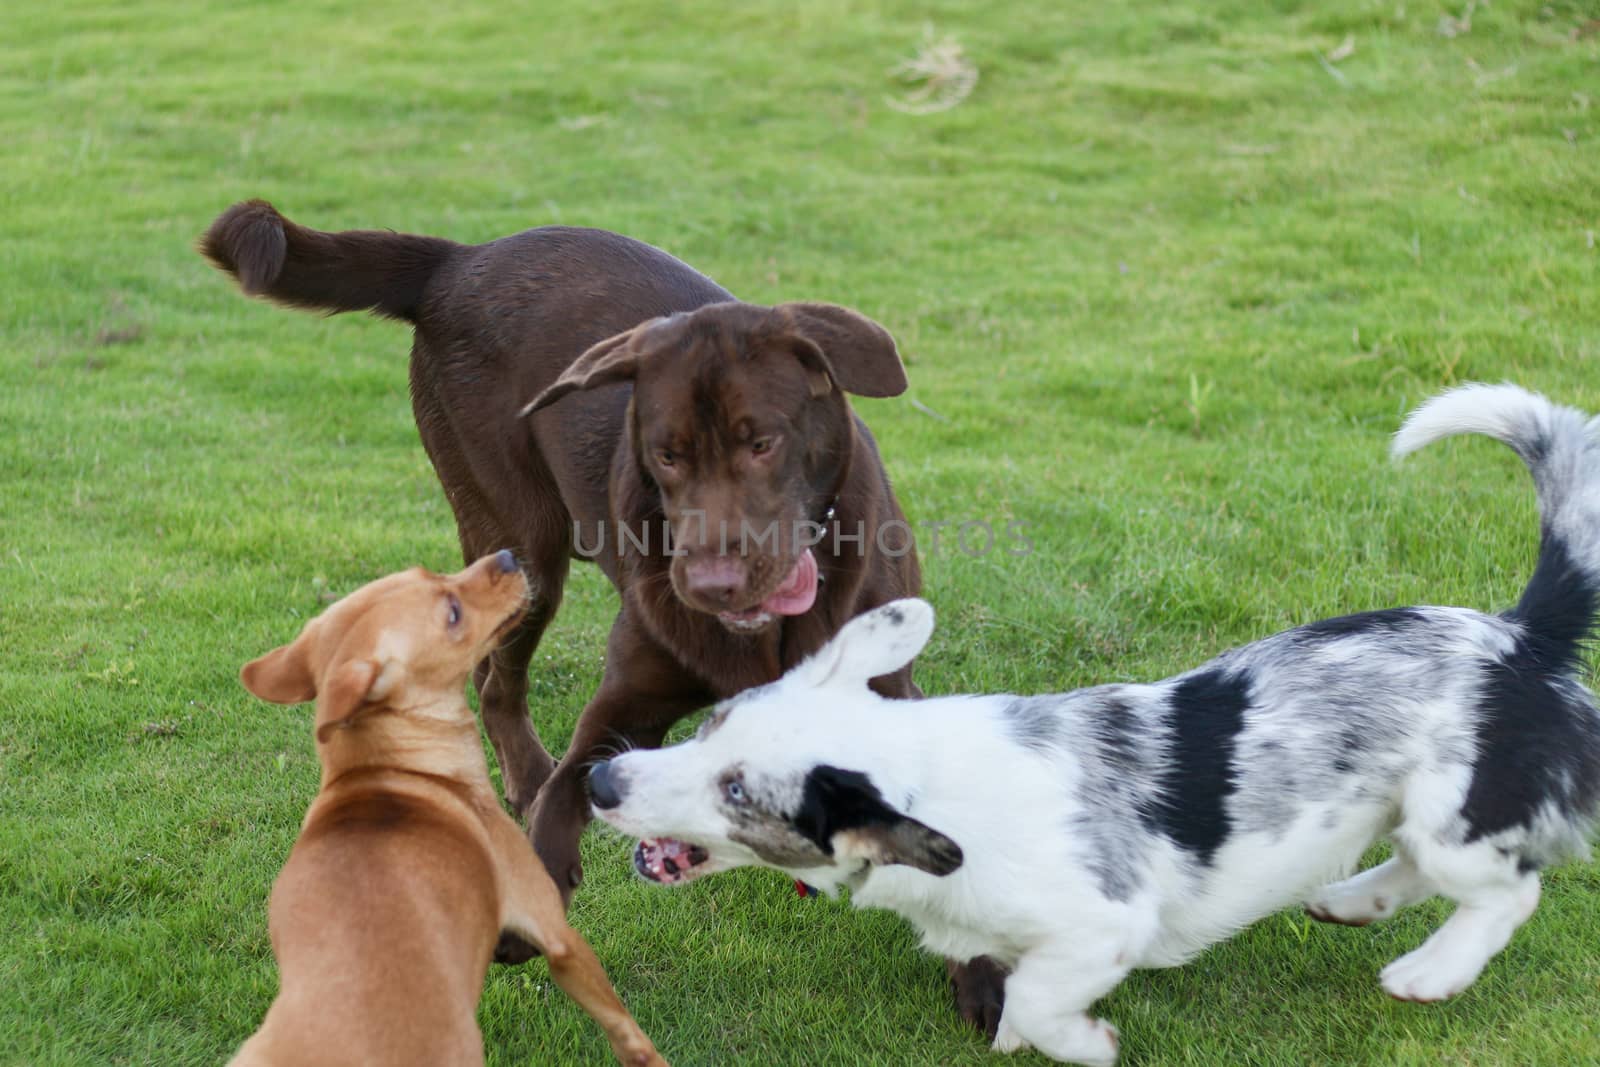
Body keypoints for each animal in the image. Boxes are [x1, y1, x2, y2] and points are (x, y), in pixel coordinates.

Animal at [228, 550, 659, 1067]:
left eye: (423, 573)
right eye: (452, 614)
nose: (507, 556)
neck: (384, 770)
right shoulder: (556, 931)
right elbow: (626, 1029)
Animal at [588, 385, 1600, 1067]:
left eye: (738, 791)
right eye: (710, 727)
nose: (600, 779)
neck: (933, 785)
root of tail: (1522, 632)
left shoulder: (1100, 928)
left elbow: (1035, 1004)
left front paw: (1090, 1041)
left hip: (1458, 813)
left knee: (1508, 891)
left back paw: (1430, 971)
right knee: (1425, 869)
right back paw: (1351, 901)